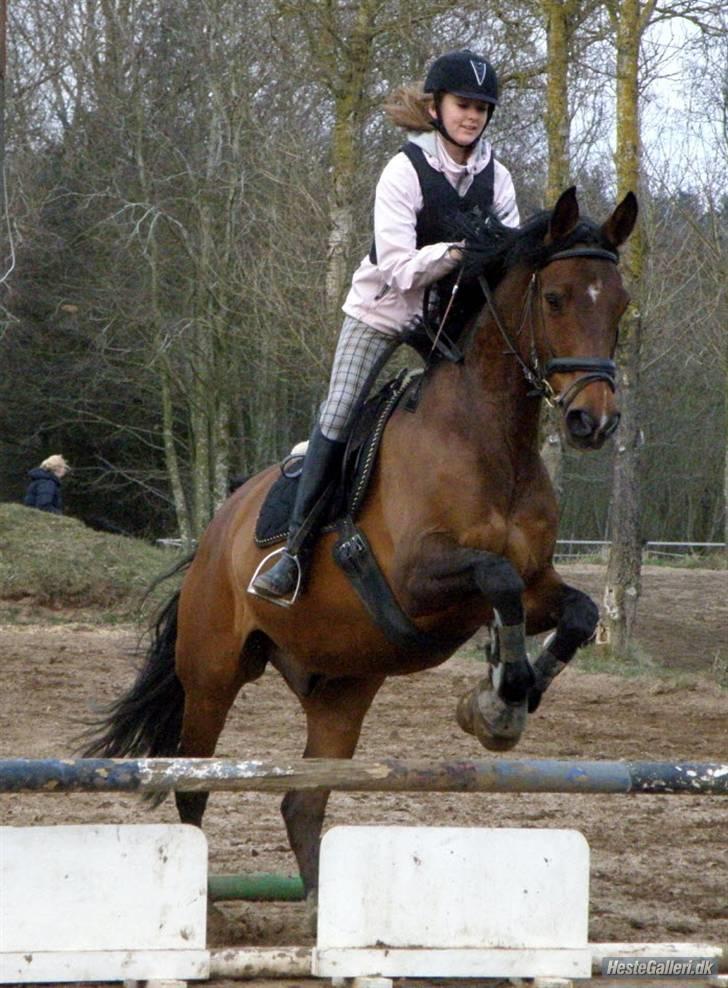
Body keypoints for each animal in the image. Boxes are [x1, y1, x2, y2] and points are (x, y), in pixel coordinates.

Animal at [85, 187, 636, 904]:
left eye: (621, 304)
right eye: (557, 298)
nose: (592, 420)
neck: (493, 443)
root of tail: (214, 531)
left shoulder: (538, 580)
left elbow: (574, 610)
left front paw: (504, 701)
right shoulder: (419, 579)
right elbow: (497, 578)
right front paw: (499, 695)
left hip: (342, 687)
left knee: (303, 802)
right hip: (211, 676)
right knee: (194, 789)